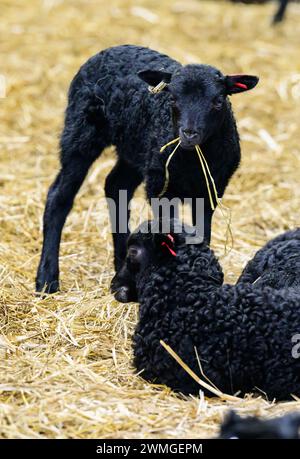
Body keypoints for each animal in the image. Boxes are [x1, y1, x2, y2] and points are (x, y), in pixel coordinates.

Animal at [35, 44, 258, 294]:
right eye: (172, 98)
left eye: (218, 101)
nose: (189, 133)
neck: (191, 161)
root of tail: (109, 49)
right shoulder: (160, 188)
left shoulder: (210, 190)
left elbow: (202, 234)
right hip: (80, 134)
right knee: (59, 196)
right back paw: (47, 279)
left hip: (135, 151)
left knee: (115, 186)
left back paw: (120, 263)